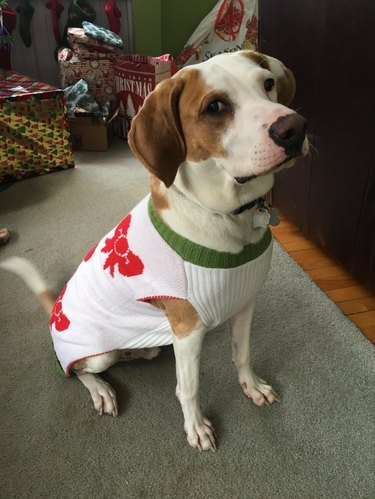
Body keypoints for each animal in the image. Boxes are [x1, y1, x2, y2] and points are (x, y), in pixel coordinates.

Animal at [1, 50, 310, 454]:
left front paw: (252, 387)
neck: (229, 215)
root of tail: (55, 311)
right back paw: (100, 389)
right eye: (214, 107)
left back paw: (139, 351)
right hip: (96, 354)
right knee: (77, 369)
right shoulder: (188, 329)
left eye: (268, 83)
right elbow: (189, 387)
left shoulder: (244, 303)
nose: (294, 128)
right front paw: (196, 427)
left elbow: (241, 355)